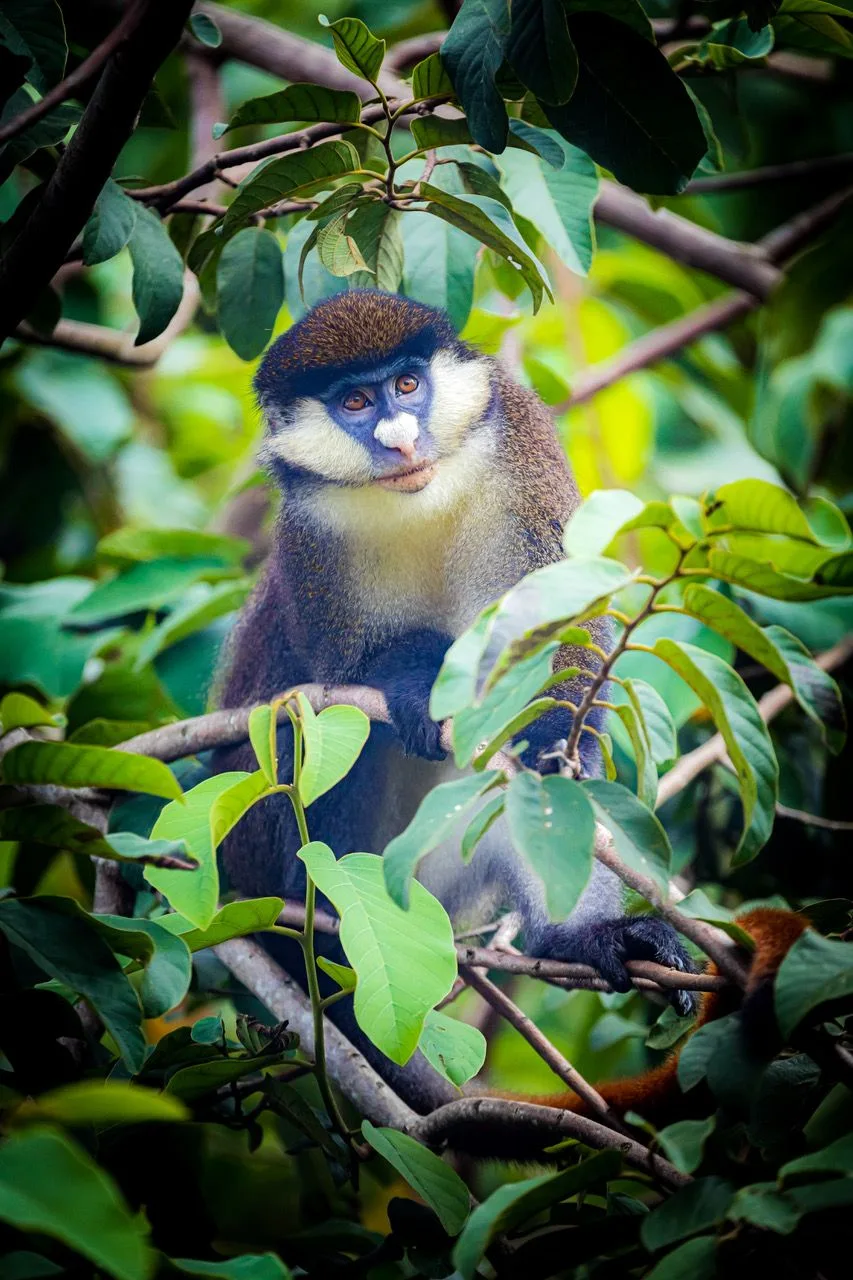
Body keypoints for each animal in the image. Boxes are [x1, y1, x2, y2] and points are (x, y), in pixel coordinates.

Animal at [213, 289, 701, 1116]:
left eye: (407, 386)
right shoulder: (310, 536)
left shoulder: (520, 449)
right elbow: (343, 675)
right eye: (354, 402)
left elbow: (561, 638)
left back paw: (579, 939)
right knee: (298, 734)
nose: (399, 437)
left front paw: (548, 738)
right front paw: (415, 683)